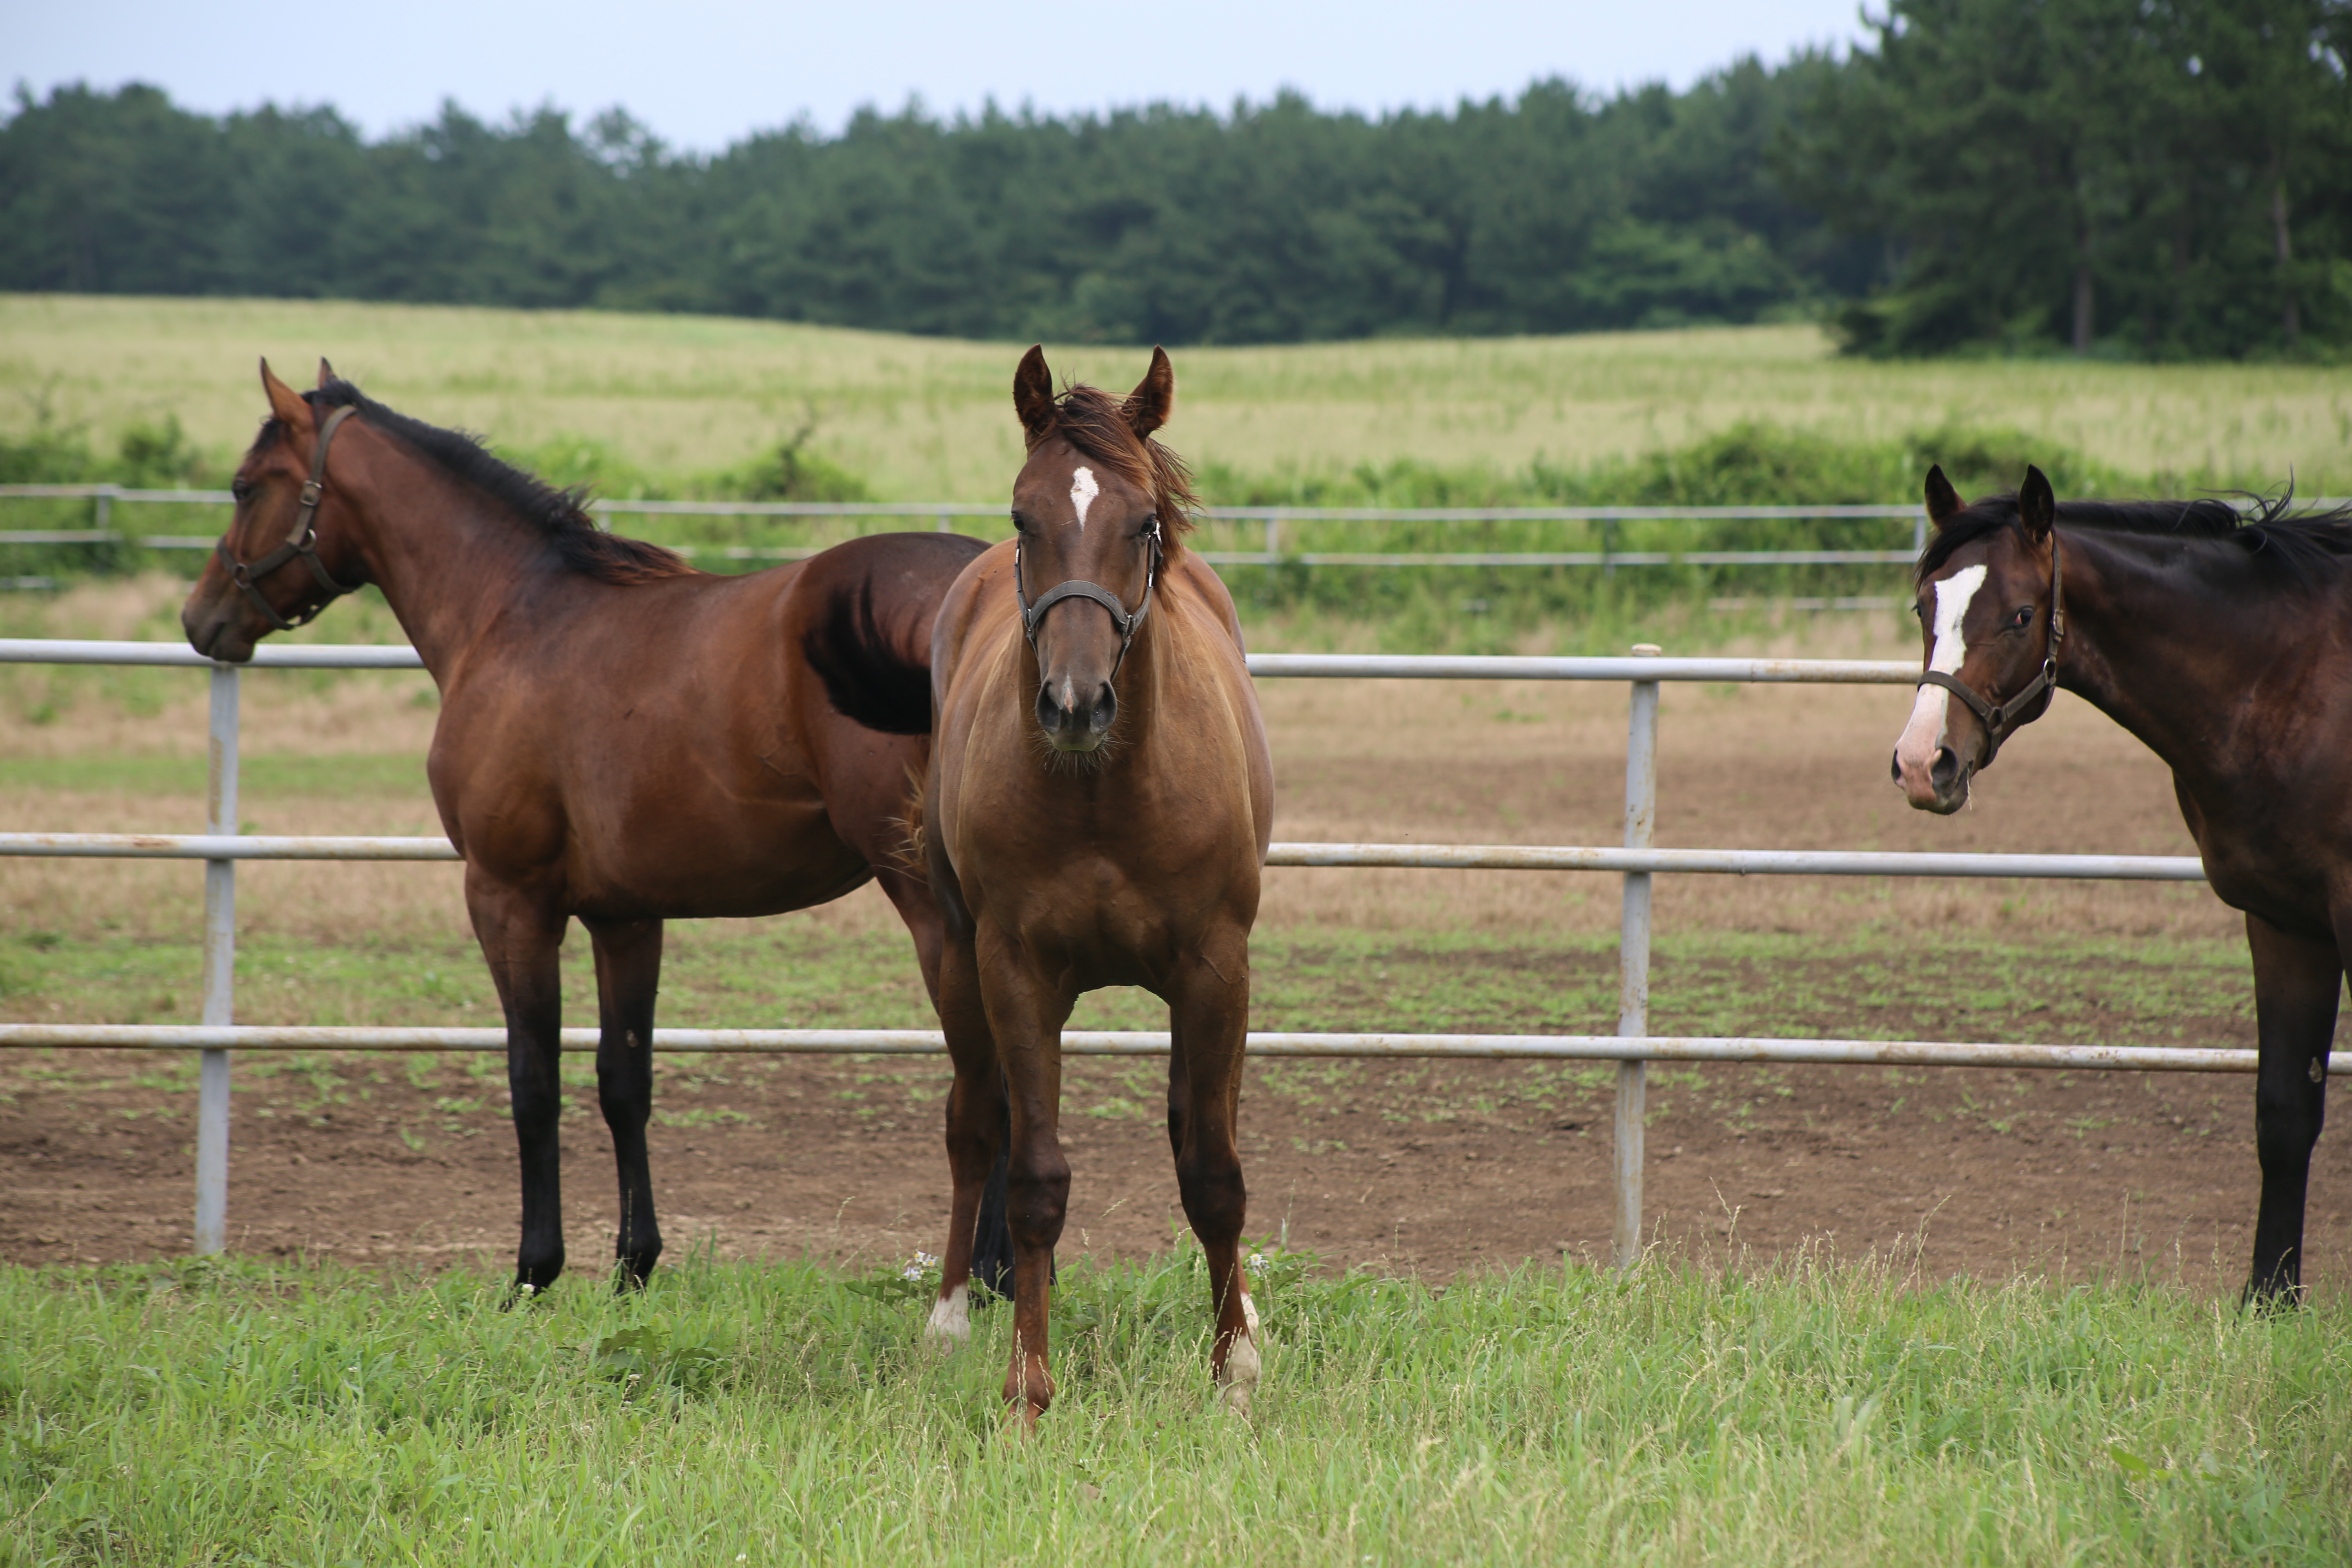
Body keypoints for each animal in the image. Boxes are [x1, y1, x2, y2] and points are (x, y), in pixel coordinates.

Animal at [172, 362, 1002, 1297]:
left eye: (245, 486)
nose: (202, 618)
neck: (514, 614)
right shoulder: (626, 914)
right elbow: (623, 1079)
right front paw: (633, 1265)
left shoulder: (509, 898)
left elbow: (533, 1080)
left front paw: (536, 1271)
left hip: (936, 908)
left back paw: (982, 1280)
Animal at [922, 350, 1289, 1429]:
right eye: (1021, 516)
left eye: (1143, 523)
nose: (1075, 704)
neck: (1102, 793)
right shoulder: (1014, 971)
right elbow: (1035, 1177)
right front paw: (1027, 1387)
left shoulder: (1215, 968)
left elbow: (1214, 1171)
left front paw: (1233, 1368)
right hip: (955, 967)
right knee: (975, 1123)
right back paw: (950, 1317)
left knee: (1198, 1128)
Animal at [1891, 461, 2352, 1307]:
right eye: (1924, 607)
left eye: (2019, 615)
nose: (1919, 763)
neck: (2294, 677)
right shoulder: (2287, 923)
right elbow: (2284, 1111)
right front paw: (2269, 1298)